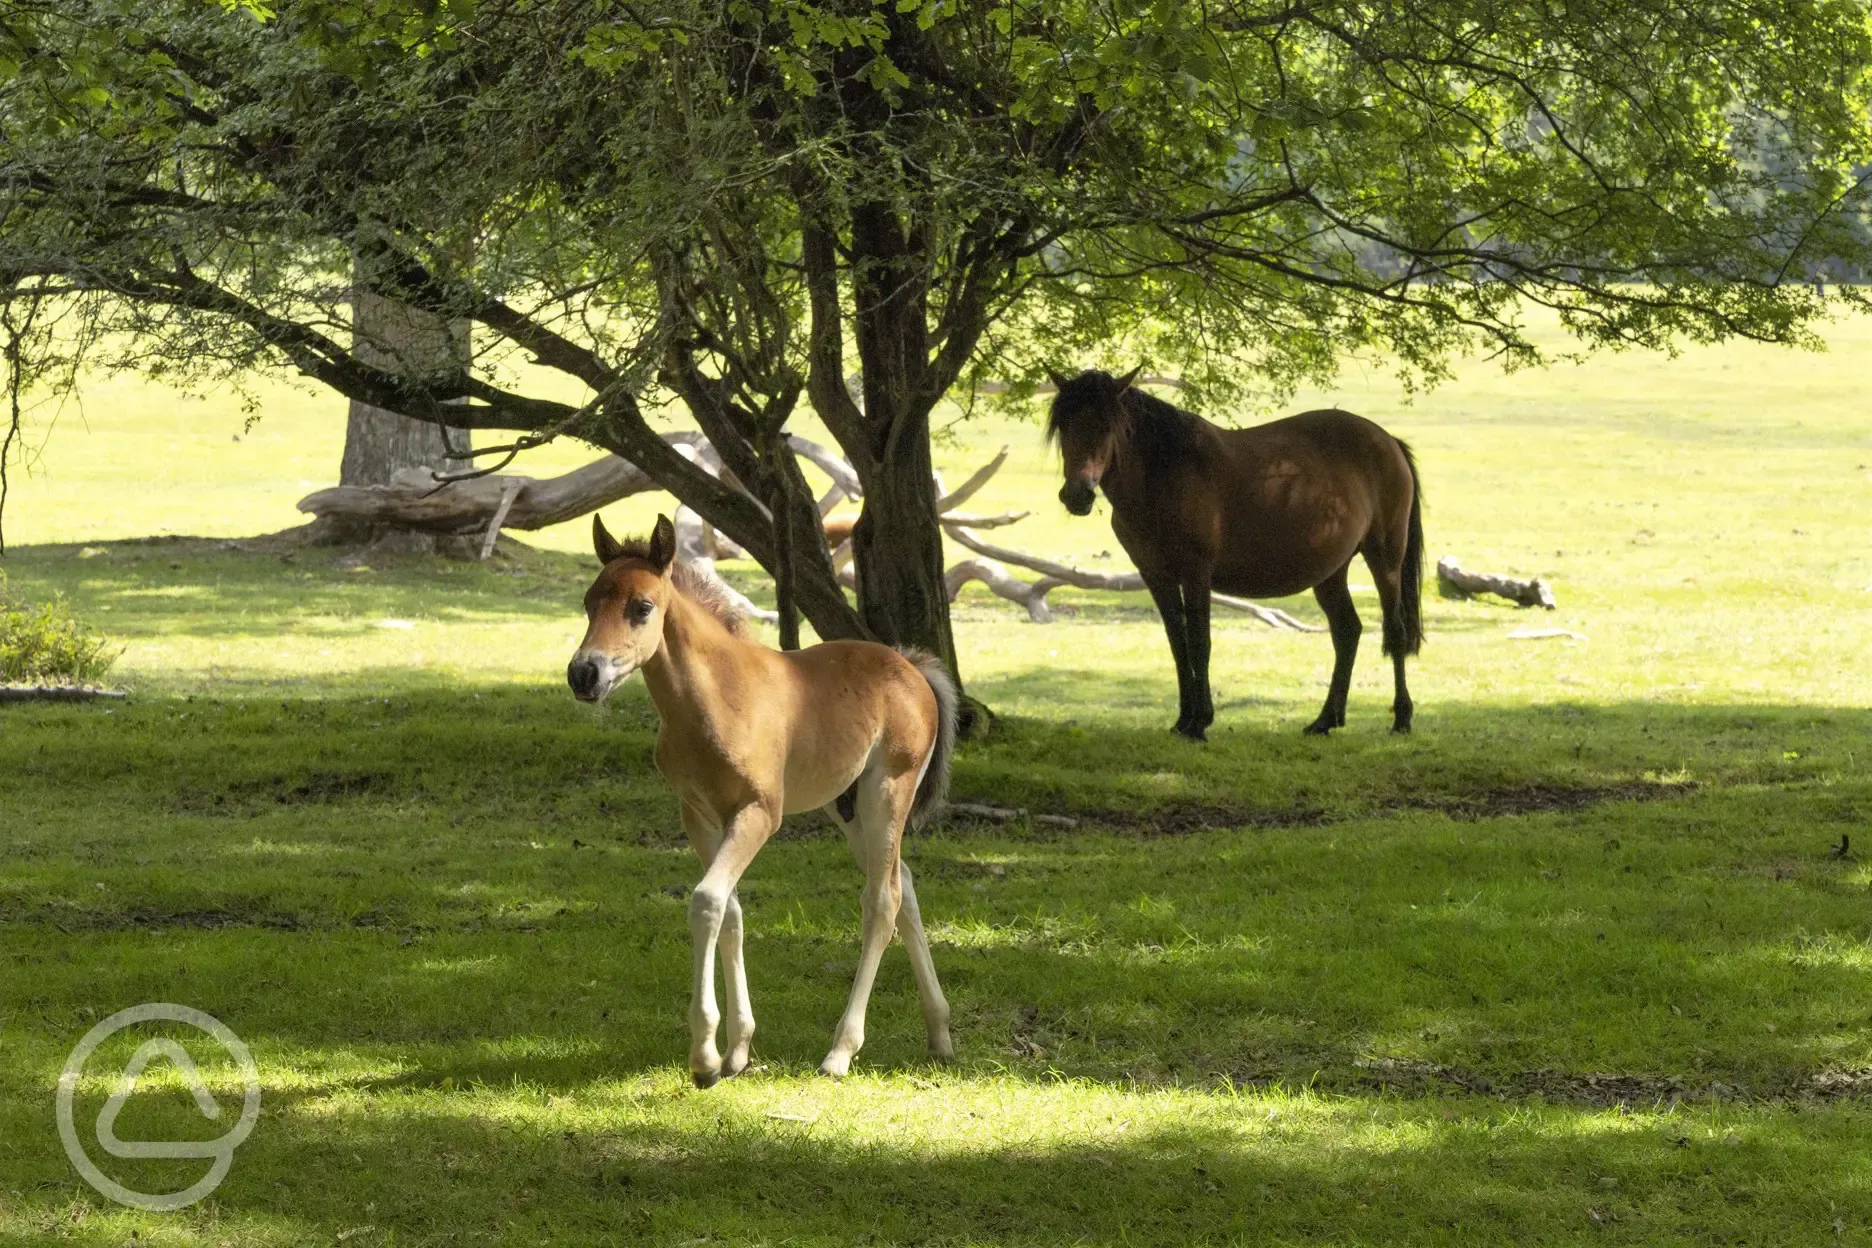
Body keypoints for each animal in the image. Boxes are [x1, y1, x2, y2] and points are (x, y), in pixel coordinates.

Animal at [566, 513, 958, 1085]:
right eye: (589, 603)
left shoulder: (758, 814)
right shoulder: (700, 815)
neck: (716, 700)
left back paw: (841, 1051)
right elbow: (730, 912)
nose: (584, 674)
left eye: (641, 607)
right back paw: (940, 1033)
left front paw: (705, 1057)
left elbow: (707, 902)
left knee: (881, 901)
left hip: (889, 789)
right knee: (901, 883)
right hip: (844, 805)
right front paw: (737, 1050)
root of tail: (912, 667)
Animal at [1047, 367, 1424, 739]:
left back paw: (1402, 719)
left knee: (1395, 631)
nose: (1077, 495)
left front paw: (1199, 722)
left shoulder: (1196, 573)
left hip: (1384, 560)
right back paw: (1325, 720)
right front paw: (1183, 720)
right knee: (1347, 631)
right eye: (1064, 425)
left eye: (1107, 426)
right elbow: (1178, 644)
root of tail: (1388, 442)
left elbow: (1200, 642)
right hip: (1331, 573)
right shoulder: (1156, 576)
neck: (1164, 474)